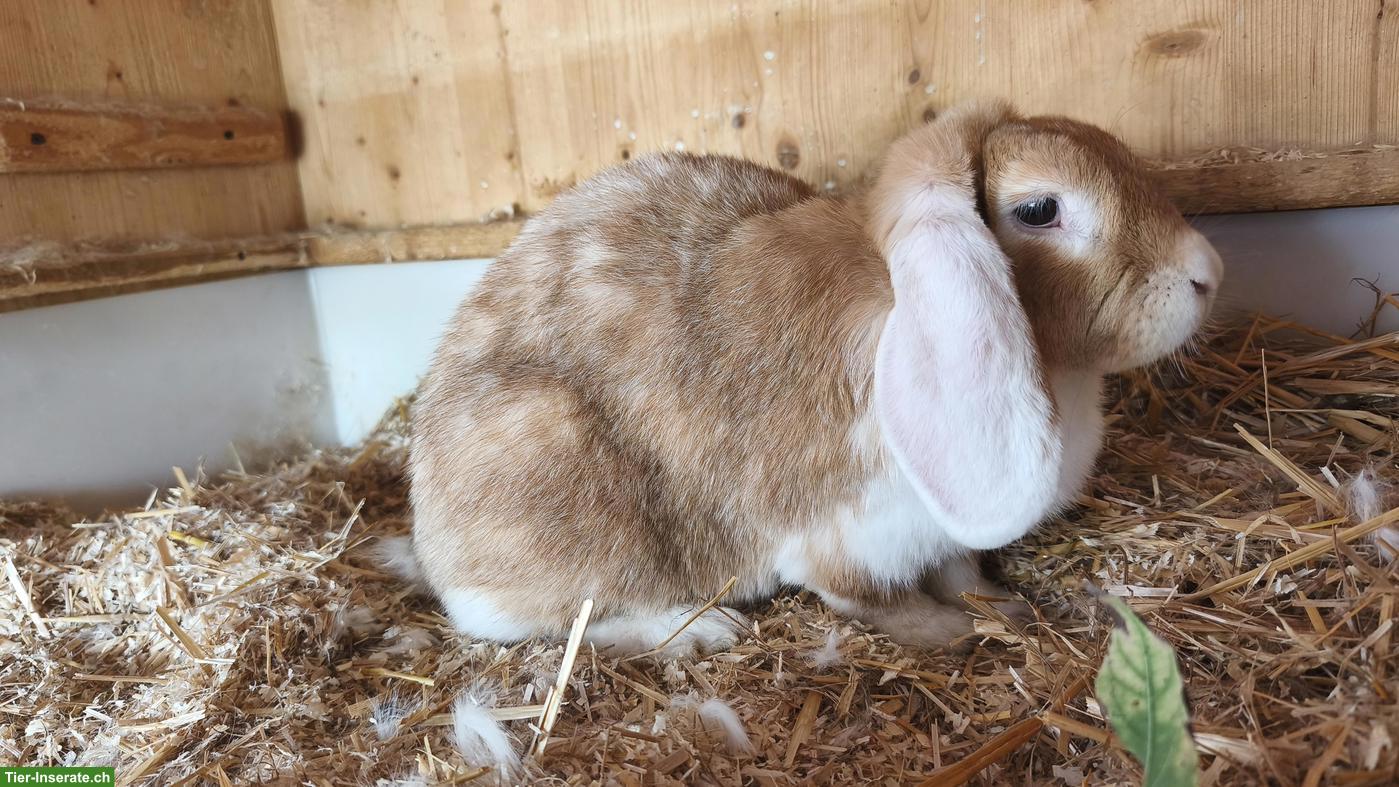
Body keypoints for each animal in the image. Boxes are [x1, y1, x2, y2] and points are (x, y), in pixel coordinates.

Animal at [396, 99, 1223, 656]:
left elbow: (960, 567)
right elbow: (869, 599)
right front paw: (950, 630)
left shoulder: (939, 530)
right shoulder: (846, 535)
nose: (1207, 274)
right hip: (564, 491)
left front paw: (1002, 606)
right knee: (561, 621)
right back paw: (702, 628)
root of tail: (435, 548)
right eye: (1040, 207)